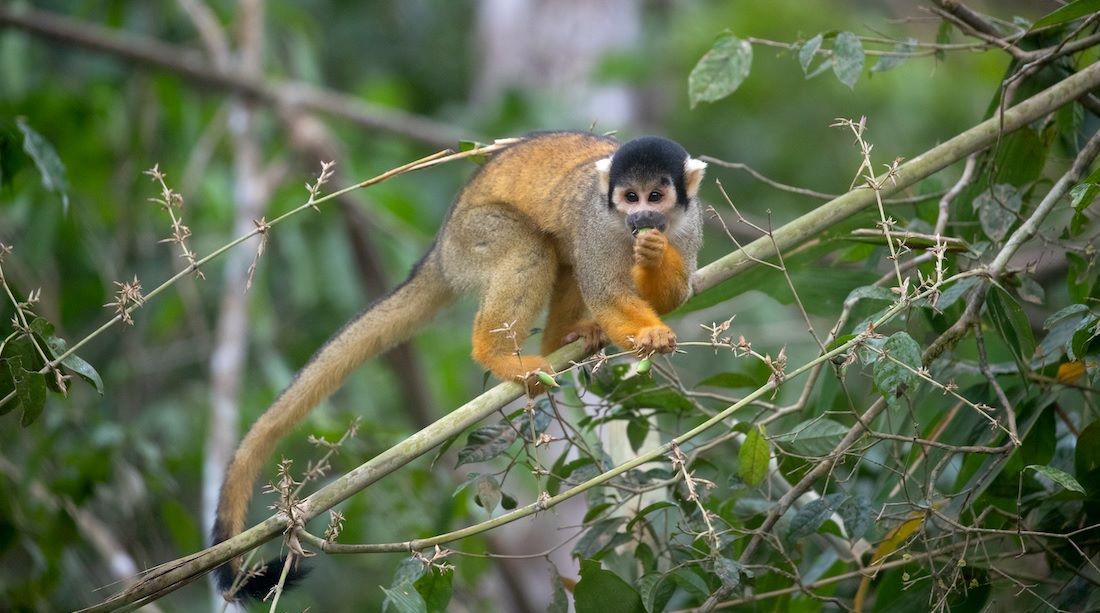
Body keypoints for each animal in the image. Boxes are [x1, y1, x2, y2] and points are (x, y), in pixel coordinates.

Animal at [214, 130, 704, 598]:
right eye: (629, 197)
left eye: (655, 196)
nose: (640, 219)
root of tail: (441, 248)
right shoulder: (598, 226)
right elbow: (605, 292)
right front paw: (648, 331)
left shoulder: (690, 223)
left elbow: (676, 294)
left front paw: (654, 257)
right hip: (474, 238)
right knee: (531, 248)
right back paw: (497, 352)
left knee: (559, 256)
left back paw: (564, 339)